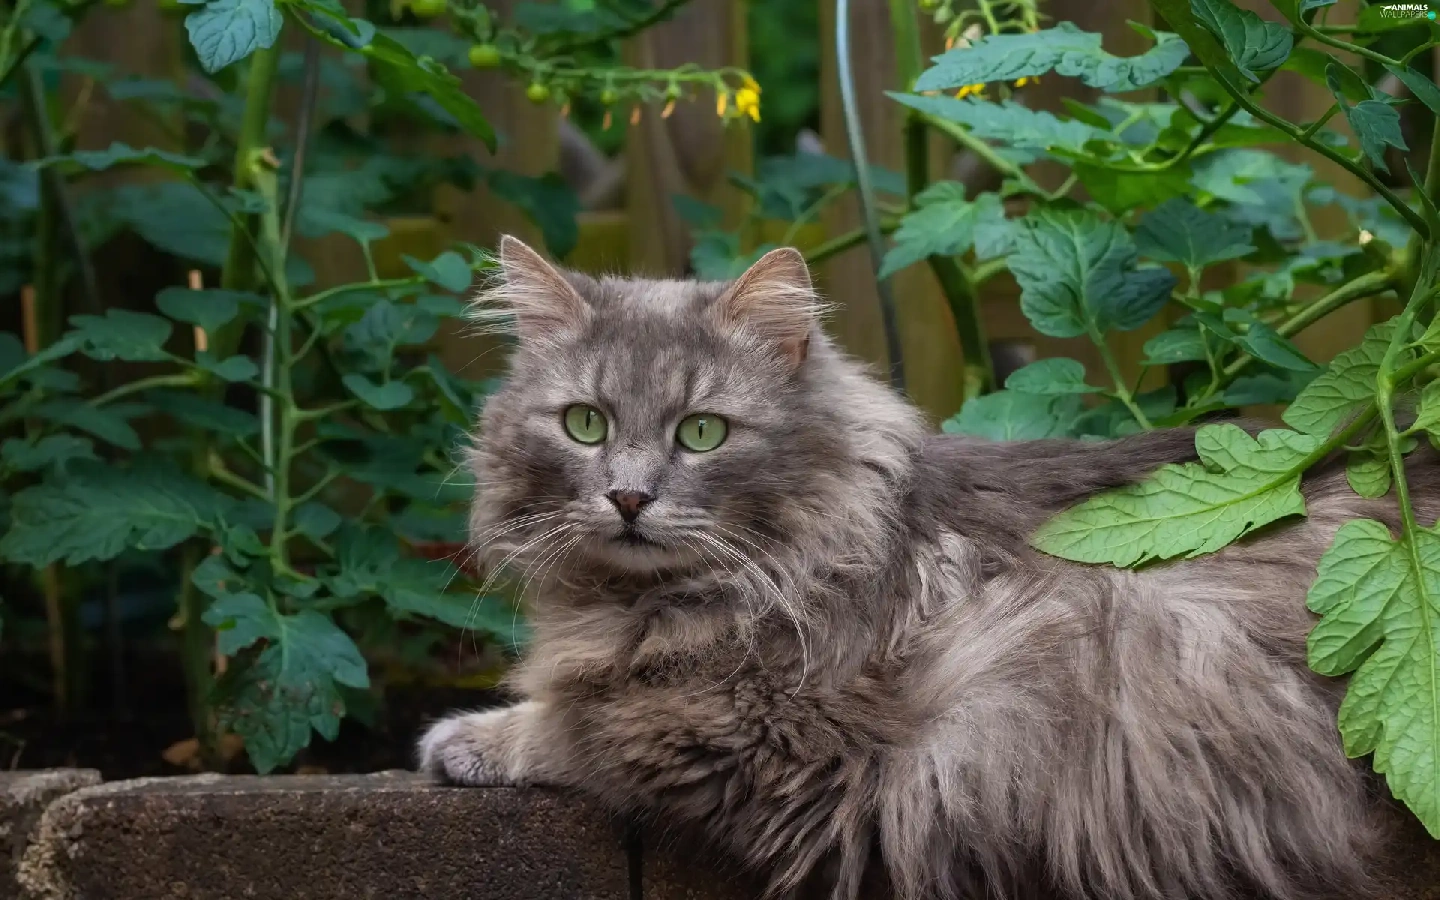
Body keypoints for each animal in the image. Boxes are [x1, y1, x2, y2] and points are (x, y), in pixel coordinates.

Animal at [419, 235, 1423, 900]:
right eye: (584, 424)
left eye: (701, 433)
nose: (628, 498)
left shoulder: (749, 734)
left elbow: (576, 729)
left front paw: (468, 738)